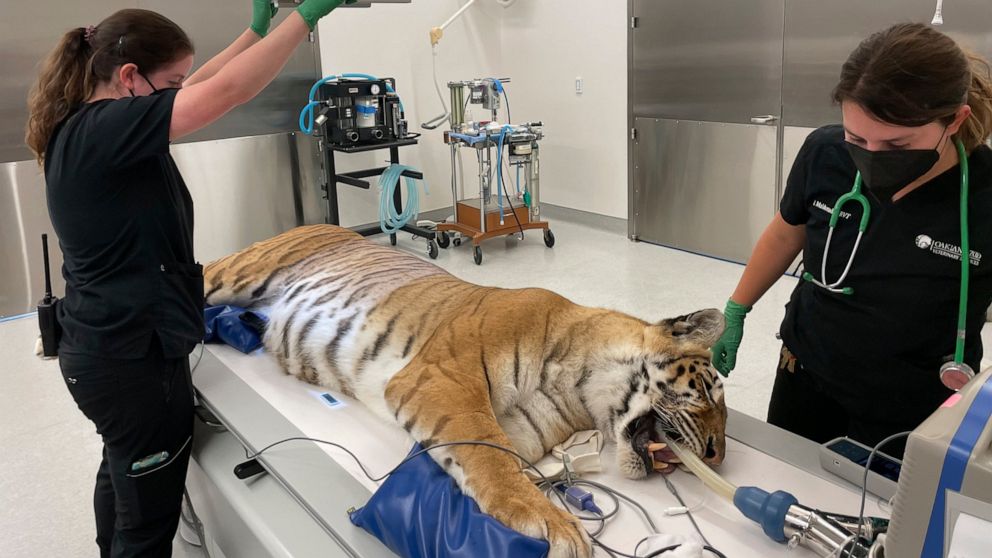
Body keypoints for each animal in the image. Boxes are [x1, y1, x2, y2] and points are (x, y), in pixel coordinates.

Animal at [204, 224, 728, 558]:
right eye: (708, 391)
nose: (716, 456)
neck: (577, 389)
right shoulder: (445, 377)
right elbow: (490, 455)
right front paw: (551, 522)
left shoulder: (518, 428)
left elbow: (487, 460)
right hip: (234, 273)